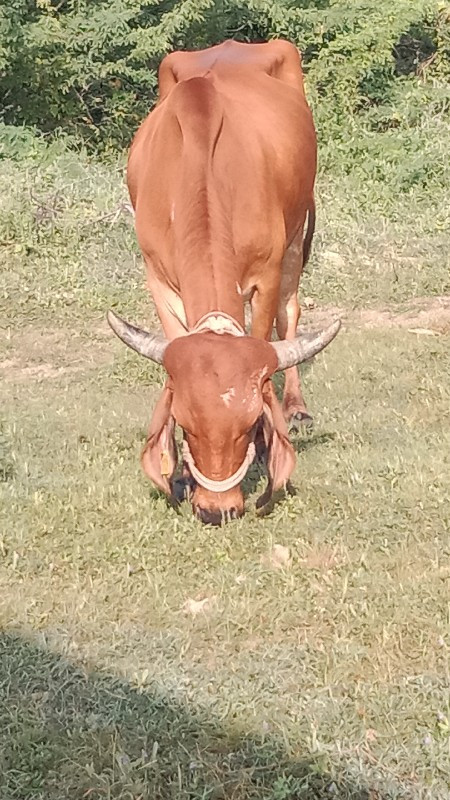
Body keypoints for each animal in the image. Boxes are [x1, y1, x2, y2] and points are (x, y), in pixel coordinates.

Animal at [107, 39, 340, 524]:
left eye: (249, 425)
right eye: (184, 424)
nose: (218, 510)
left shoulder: (267, 273)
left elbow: (269, 331)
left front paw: (268, 446)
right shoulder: (158, 278)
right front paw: (178, 472)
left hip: (297, 233)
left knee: (291, 313)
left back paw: (297, 407)